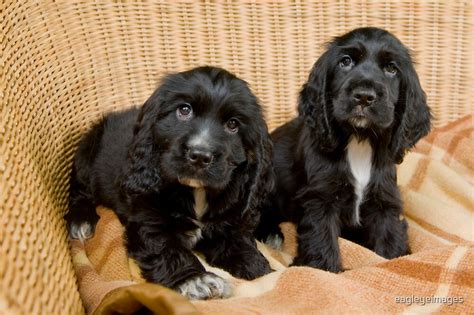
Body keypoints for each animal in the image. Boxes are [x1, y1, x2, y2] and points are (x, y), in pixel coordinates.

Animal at [66, 66, 274, 298]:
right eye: (184, 110)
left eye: (233, 124)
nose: (200, 155)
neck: (197, 191)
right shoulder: (149, 221)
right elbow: (167, 248)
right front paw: (196, 280)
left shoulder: (232, 218)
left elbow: (239, 243)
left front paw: (258, 268)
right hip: (87, 152)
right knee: (80, 190)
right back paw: (81, 220)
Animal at [258, 27, 432, 274]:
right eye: (346, 61)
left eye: (391, 68)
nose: (365, 96)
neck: (359, 141)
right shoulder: (320, 199)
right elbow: (322, 240)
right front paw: (323, 269)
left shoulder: (383, 199)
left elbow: (389, 236)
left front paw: (396, 261)